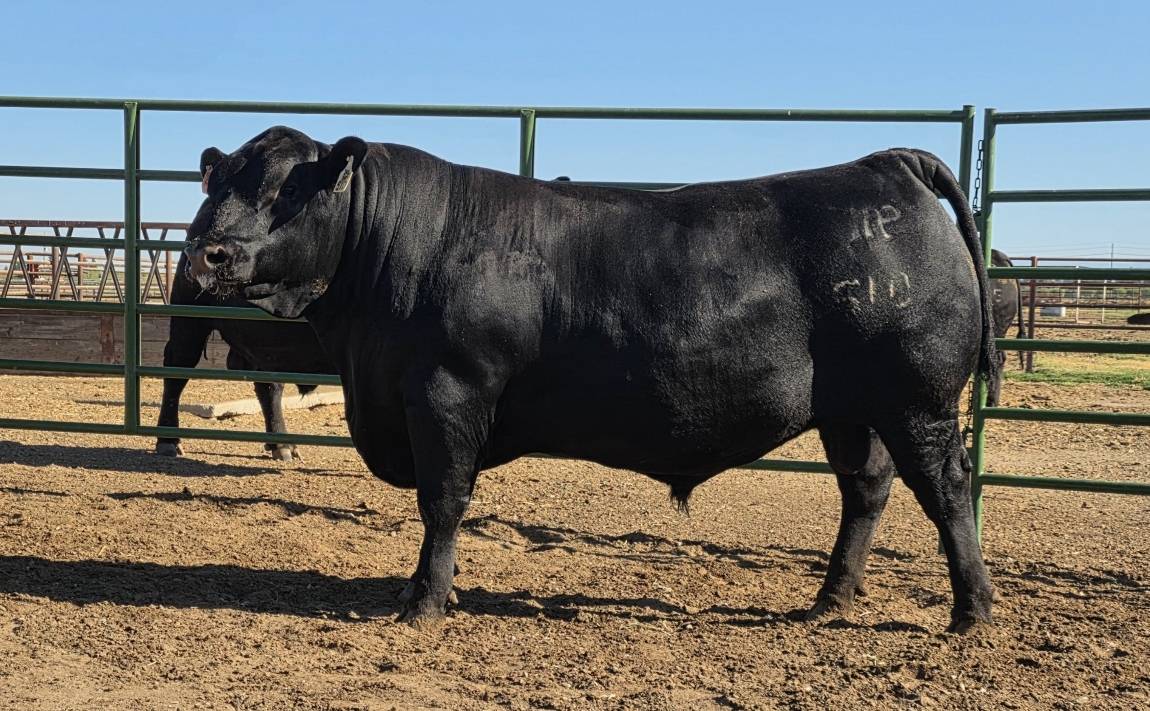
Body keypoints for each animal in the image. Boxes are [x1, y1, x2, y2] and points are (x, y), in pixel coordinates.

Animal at [183, 126, 999, 633]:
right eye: (216, 182)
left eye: (288, 189)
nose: (206, 252)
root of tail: (885, 164)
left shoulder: (447, 393)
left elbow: (442, 501)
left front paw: (424, 601)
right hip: (852, 408)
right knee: (866, 488)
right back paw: (830, 600)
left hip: (918, 398)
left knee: (946, 488)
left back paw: (971, 610)